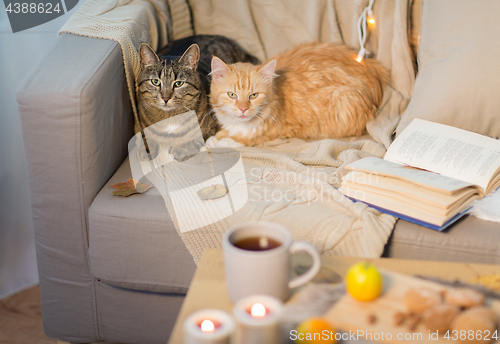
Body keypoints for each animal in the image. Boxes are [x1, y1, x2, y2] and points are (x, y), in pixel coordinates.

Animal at [209, 42, 388, 146]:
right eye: (232, 95)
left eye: (253, 95)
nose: (243, 109)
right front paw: (214, 139)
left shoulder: (278, 130)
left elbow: (246, 138)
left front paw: (224, 141)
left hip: (343, 100)